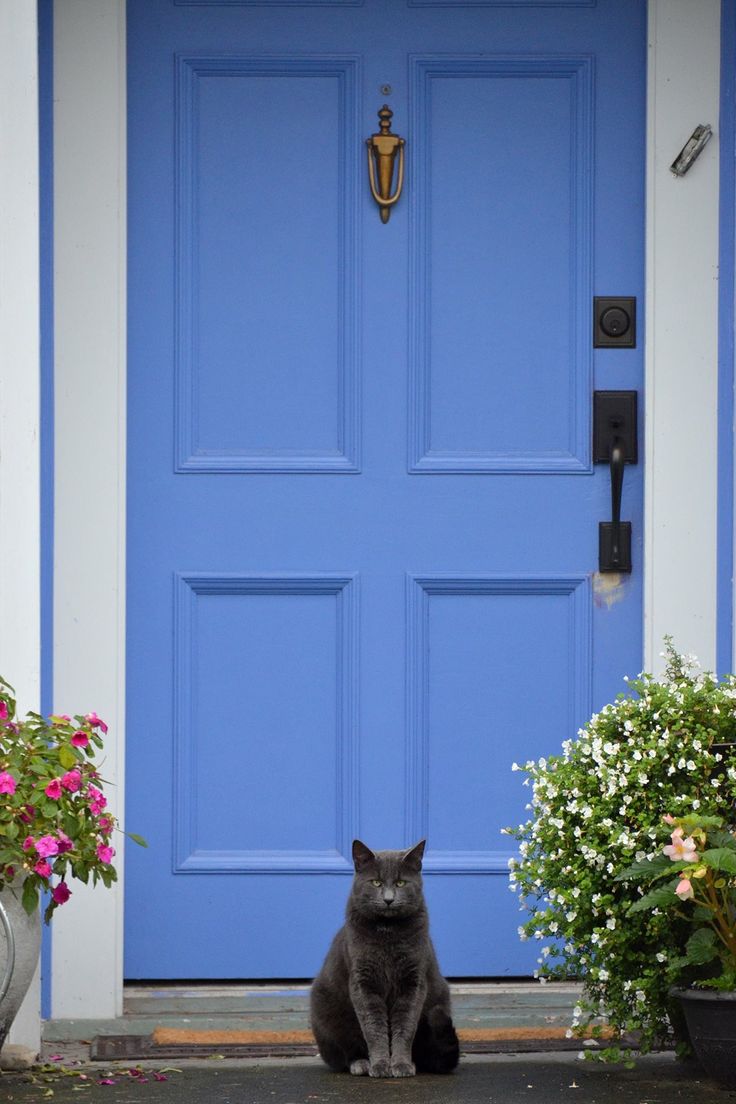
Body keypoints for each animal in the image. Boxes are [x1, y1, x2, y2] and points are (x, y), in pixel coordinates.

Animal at [311, 839, 461, 1073]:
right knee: (343, 1052)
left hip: (439, 1000)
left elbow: (405, 1027)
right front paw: (380, 1064)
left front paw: (400, 1064)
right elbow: (374, 1028)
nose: (389, 899)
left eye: (400, 883)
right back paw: (360, 1063)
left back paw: (414, 1062)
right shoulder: (363, 982)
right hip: (326, 1010)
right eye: (376, 883)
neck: (388, 932)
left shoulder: (414, 981)